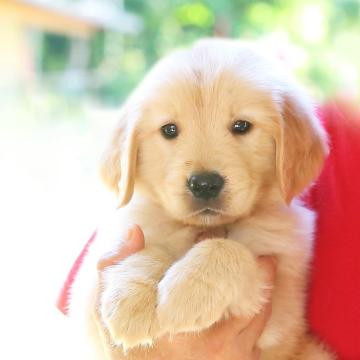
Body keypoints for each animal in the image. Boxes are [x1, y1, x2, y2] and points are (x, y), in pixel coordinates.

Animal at [69, 38, 334, 358]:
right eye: (169, 130)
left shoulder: (281, 307)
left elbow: (227, 248)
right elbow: (143, 248)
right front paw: (129, 300)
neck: (203, 228)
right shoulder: (87, 291)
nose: (205, 184)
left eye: (241, 126)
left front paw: (186, 293)